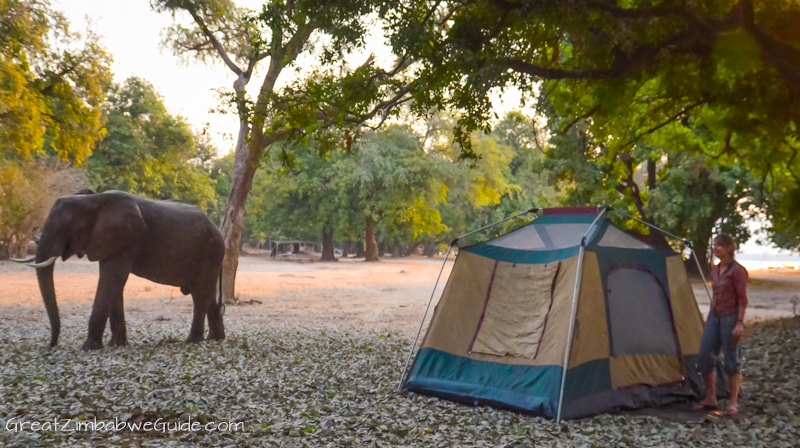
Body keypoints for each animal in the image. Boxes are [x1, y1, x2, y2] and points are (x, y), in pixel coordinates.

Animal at [12, 189, 227, 350]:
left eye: (65, 228)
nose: (52, 344)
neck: (93, 199)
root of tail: (218, 230)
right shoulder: (108, 241)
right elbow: (113, 283)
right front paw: (115, 345)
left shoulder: (128, 238)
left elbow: (112, 279)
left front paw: (89, 347)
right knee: (207, 294)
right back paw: (215, 339)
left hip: (210, 253)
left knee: (200, 294)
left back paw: (192, 341)